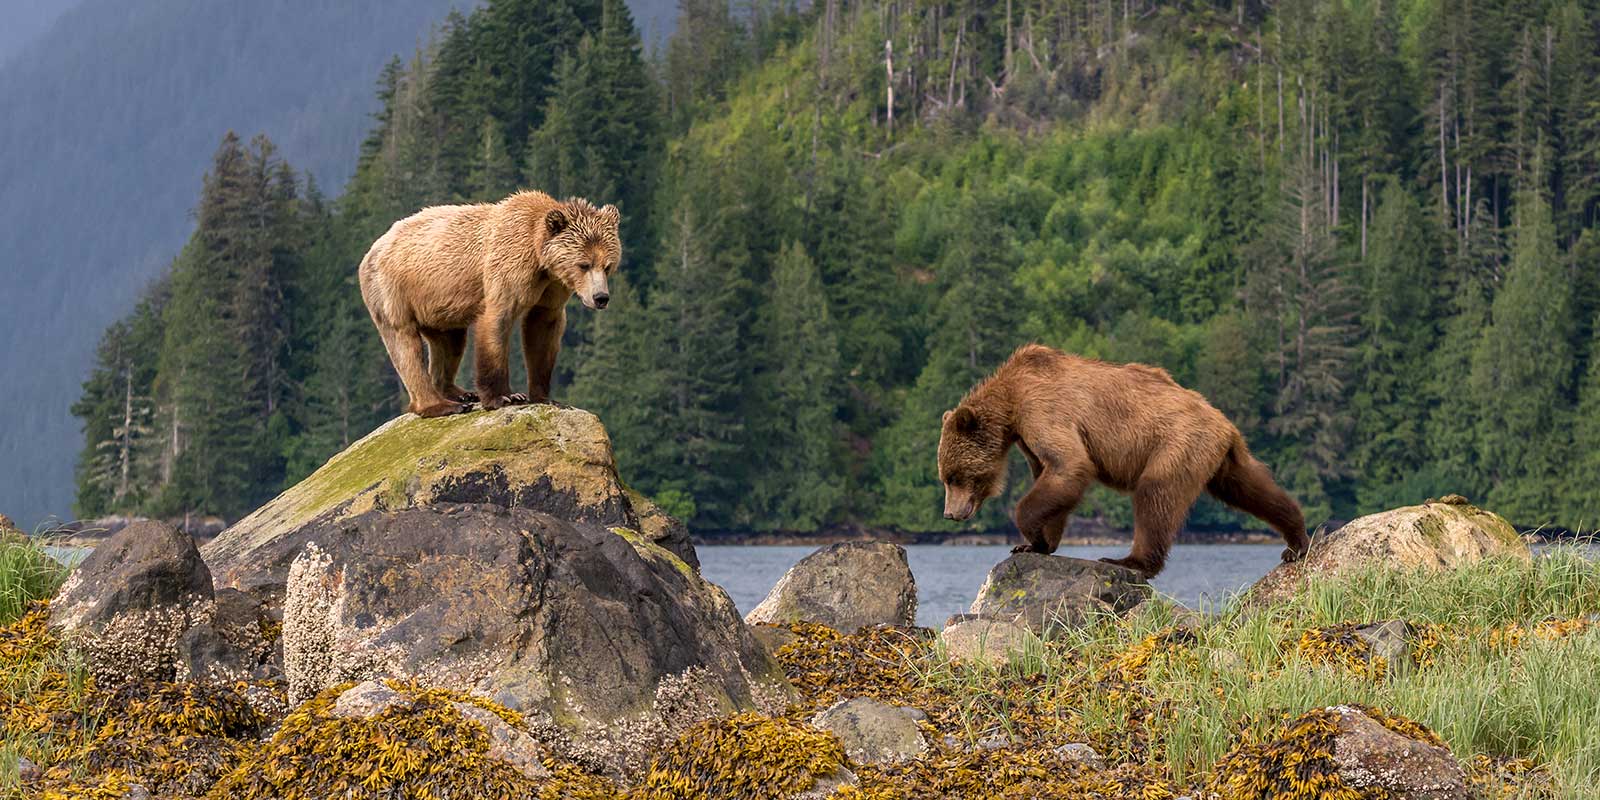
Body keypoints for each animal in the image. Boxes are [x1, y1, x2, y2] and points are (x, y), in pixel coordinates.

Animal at [358, 191, 621, 417]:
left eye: (607, 265)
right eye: (584, 264)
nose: (601, 297)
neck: (540, 260)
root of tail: (372, 249)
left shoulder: (552, 289)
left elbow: (542, 331)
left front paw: (544, 397)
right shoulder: (508, 268)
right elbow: (497, 322)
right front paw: (504, 397)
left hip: (439, 308)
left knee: (450, 343)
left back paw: (460, 393)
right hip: (394, 291)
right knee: (405, 345)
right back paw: (440, 405)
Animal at [937, 344, 1309, 578]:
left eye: (954, 476)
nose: (950, 514)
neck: (1011, 401)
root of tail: (1224, 422)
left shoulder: (1043, 410)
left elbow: (1070, 465)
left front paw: (1029, 535)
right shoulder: (1028, 437)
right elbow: (1053, 476)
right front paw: (1036, 544)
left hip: (1176, 443)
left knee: (1155, 496)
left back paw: (1130, 560)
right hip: (1218, 456)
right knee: (1251, 488)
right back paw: (1296, 539)